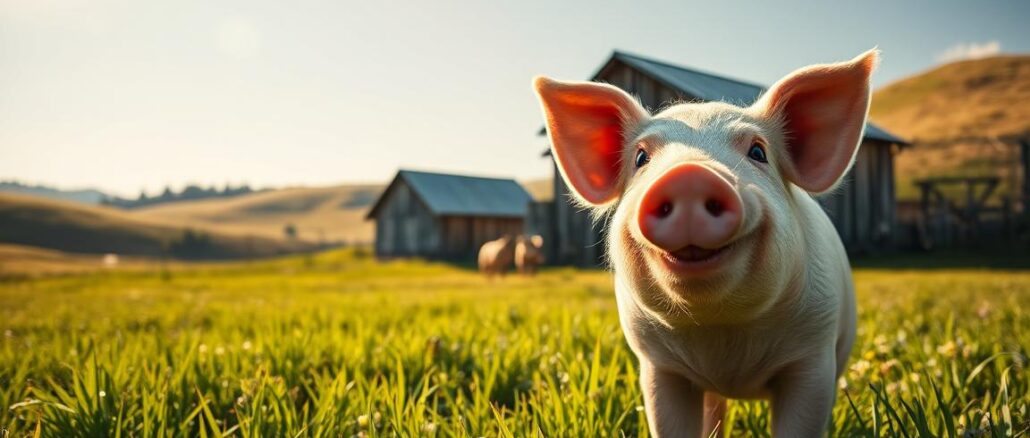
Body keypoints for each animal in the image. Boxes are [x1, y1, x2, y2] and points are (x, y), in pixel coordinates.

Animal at [532, 50, 877, 437]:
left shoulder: (814, 355)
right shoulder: (658, 366)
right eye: (641, 158)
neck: (721, 334)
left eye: (758, 152)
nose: (689, 175)